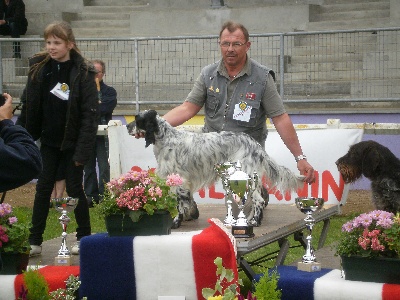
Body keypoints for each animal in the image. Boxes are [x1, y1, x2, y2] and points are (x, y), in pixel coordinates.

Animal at [128, 109, 304, 227]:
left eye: (137, 119)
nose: (128, 127)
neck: (166, 138)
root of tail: (255, 145)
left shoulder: (179, 180)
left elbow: (179, 204)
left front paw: (176, 221)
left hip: (244, 176)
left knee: (259, 200)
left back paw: (254, 222)